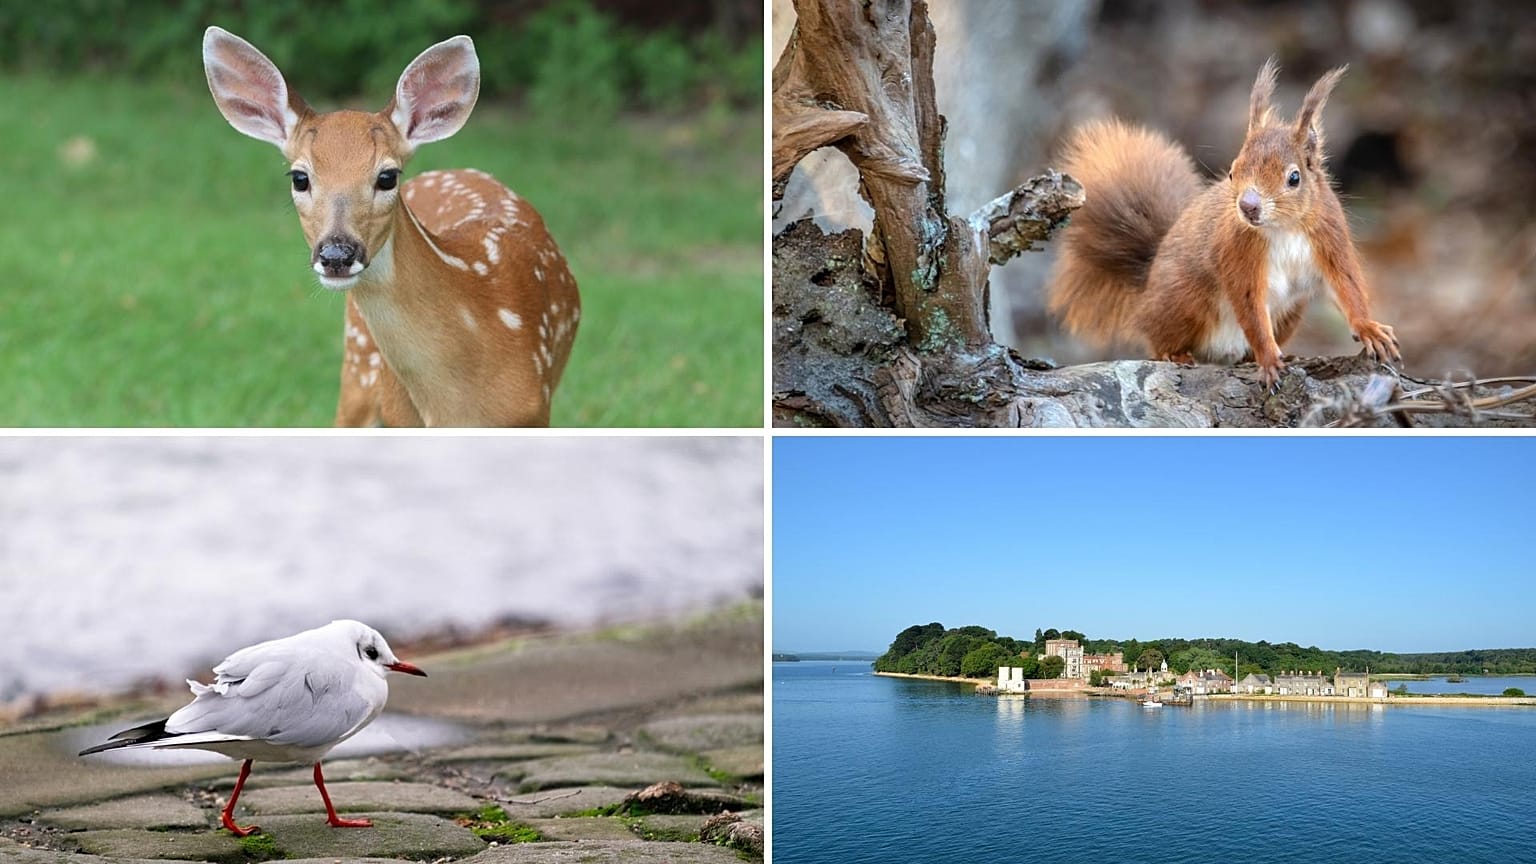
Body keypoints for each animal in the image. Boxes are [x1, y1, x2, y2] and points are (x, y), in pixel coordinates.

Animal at [1048, 58, 1400, 388]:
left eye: (1294, 178)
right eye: (1232, 172)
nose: (1248, 206)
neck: (1282, 228)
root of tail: (1146, 287)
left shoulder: (1329, 237)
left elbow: (1346, 286)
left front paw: (1370, 329)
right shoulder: (1237, 252)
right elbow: (1250, 308)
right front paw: (1268, 357)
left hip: (1291, 312)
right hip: (1183, 300)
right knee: (1158, 338)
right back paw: (1176, 353)